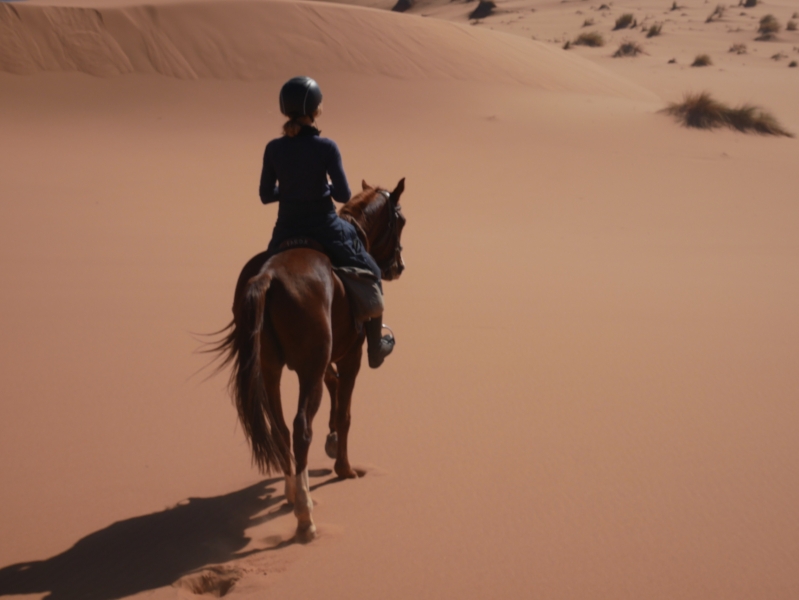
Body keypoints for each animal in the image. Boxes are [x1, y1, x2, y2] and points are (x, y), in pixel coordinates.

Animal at [212, 177, 406, 540]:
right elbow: (345, 412)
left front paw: (331, 441)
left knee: (280, 427)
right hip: (307, 370)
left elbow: (333, 387)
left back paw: (291, 493)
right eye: (400, 221)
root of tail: (267, 277)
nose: (398, 267)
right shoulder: (351, 356)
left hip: (269, 369)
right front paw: (344, 467)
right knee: (301, 427)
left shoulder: (325, 358)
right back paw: (305, 515)